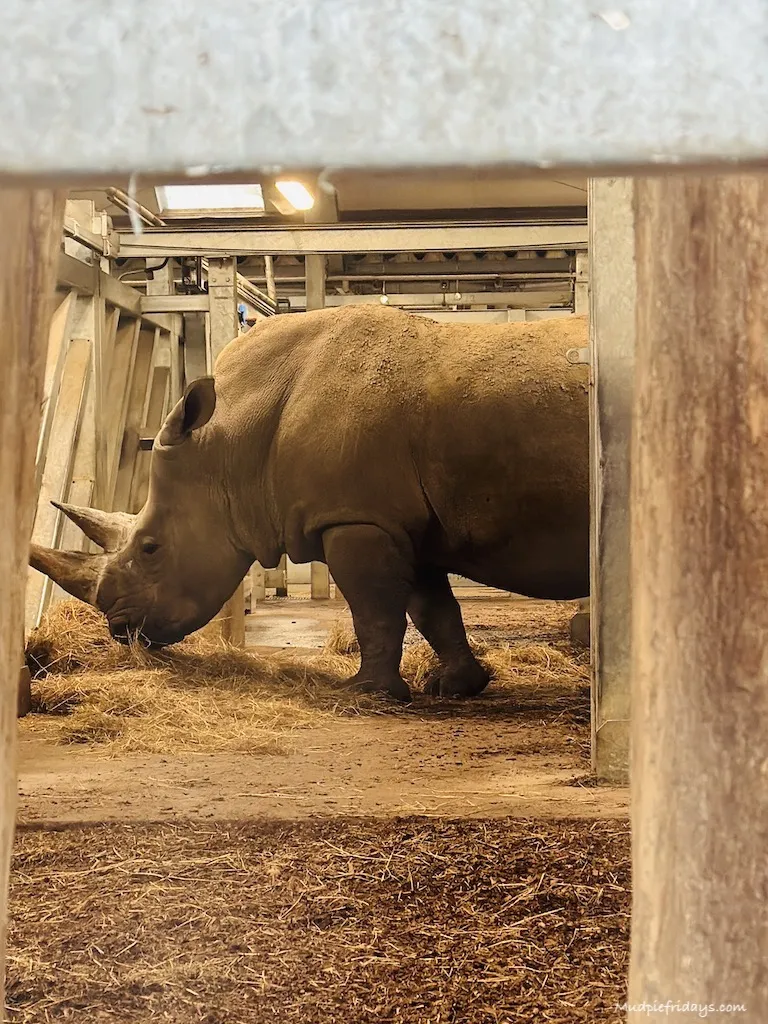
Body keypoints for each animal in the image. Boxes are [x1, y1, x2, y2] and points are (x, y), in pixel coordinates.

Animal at [30, 305, 589, 702]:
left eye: (150, 548)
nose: (119, 631)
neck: (230, 441)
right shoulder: (397, 520)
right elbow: (433, 608)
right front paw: (456, 687)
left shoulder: (353, 517)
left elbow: (374, 608)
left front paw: (366, 694)